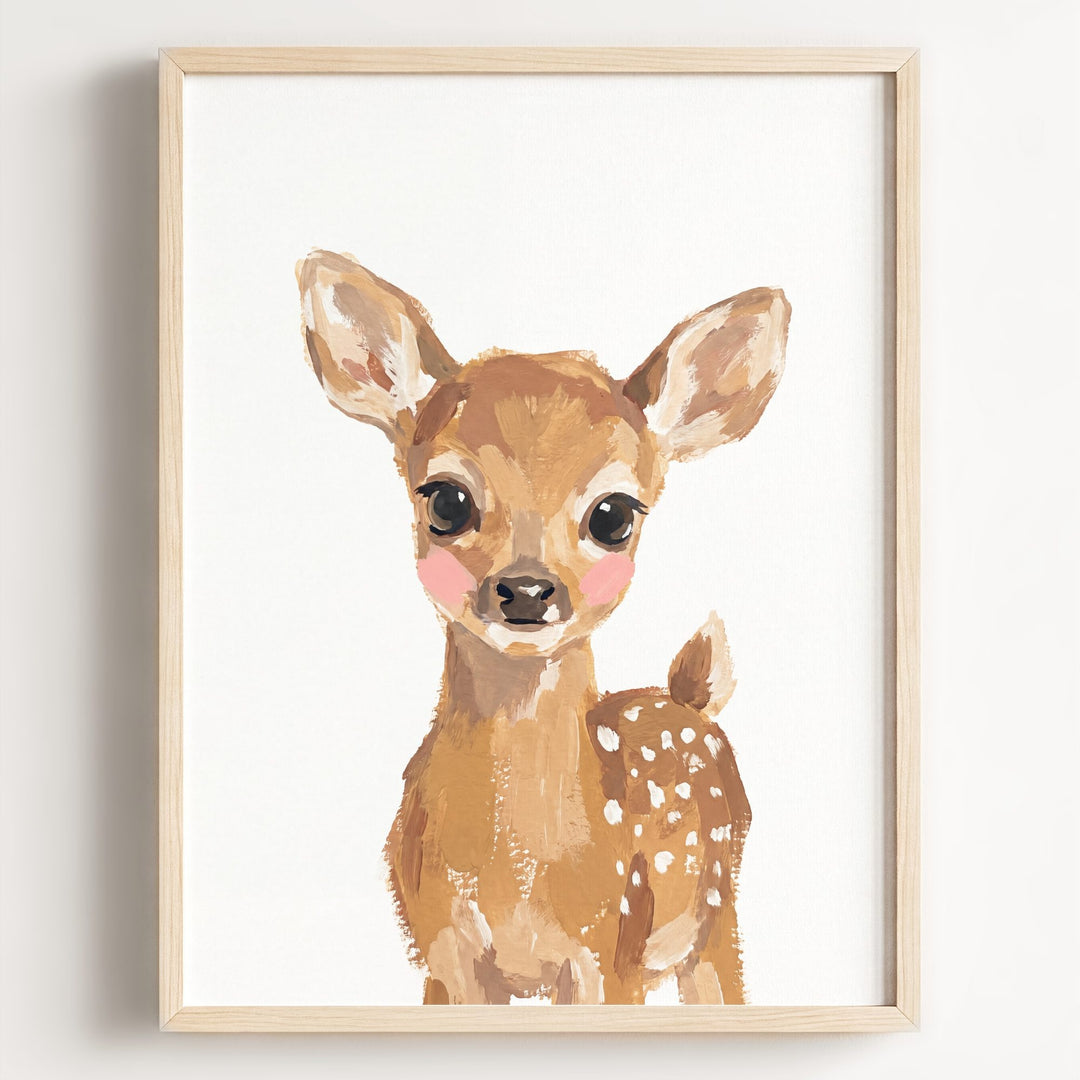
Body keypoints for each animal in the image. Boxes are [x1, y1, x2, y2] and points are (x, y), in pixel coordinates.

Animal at [297, 250, 789, 1005]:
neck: (519, 875)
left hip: (715, 913)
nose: (527, 590)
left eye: (614, 513)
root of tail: (689, 699)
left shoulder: (609, 951)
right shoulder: (442, 955)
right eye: (445, 499)